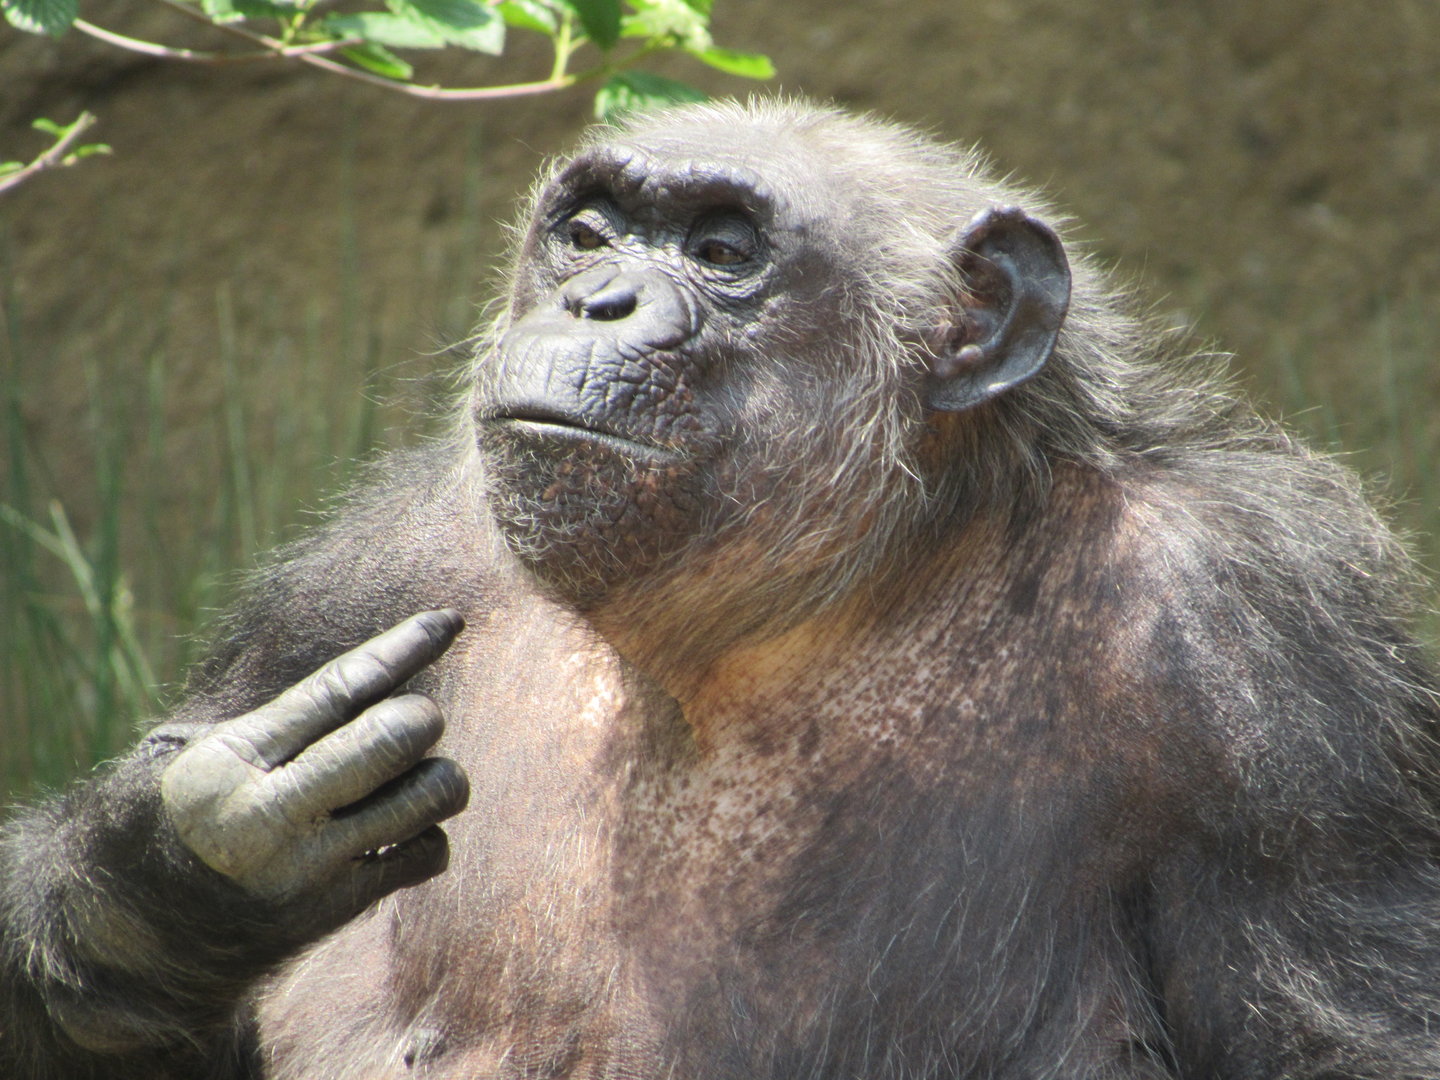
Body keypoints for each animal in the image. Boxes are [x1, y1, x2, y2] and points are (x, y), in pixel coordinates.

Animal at [3, 99, 1440, 1080]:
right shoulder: (363, 572)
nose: (596, 298)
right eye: (588, 230)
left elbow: (1340, 1044)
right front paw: (193, 853)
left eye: (723, 247)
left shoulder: (1276, 652)